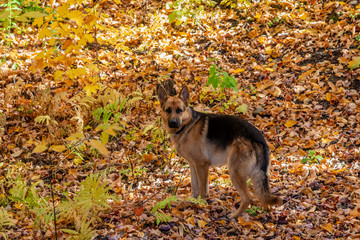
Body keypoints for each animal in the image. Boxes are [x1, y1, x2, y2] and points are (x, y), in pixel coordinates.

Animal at [158, 85, 282, 218]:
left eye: (179, 110)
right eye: (168, 110)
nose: (173, 123)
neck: (188, 125)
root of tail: (259, 139)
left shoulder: (202, 165)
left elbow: (202, 188)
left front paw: (201, 205)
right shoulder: (193, 165)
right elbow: (194, 186)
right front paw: (192, 201)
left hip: (234, 172)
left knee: (247, 198)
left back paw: (234, 216)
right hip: (255, 175)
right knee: (263, 196)